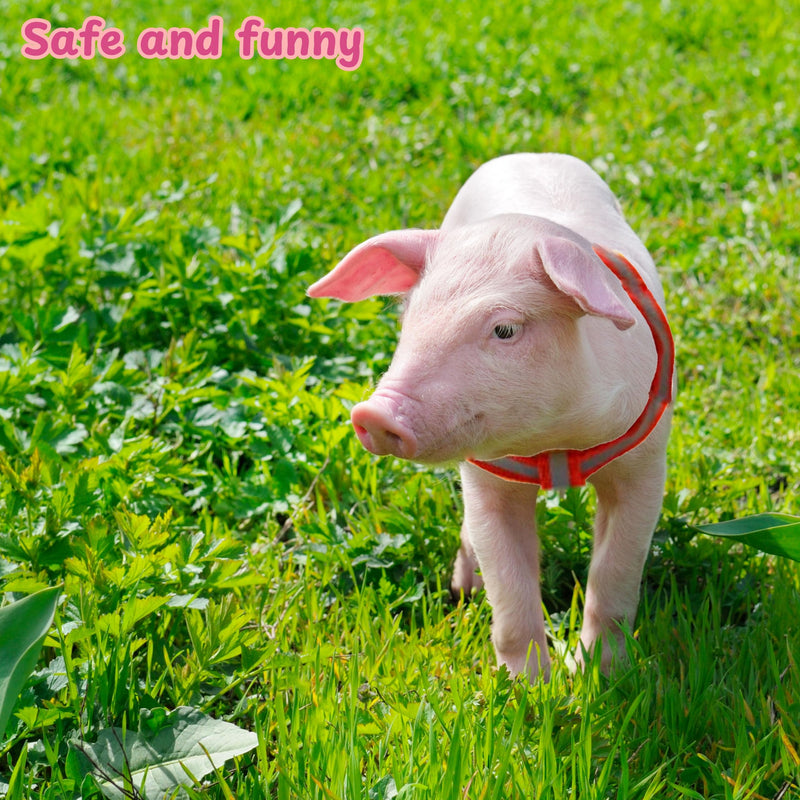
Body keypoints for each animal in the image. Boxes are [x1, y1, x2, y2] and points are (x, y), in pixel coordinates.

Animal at [307, 153, 674, 681]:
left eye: (505, 329)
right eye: (408, 319)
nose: (374, 413)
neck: (554, 445)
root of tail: (531, 154)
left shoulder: (645, 464)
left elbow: (615, 572)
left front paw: (598, 676)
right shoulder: (486, 479)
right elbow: (508, 587)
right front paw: (529, 687)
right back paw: (464, 589)